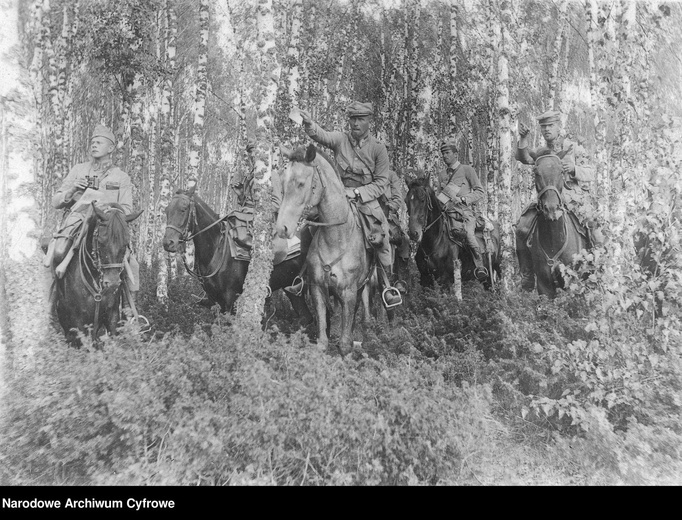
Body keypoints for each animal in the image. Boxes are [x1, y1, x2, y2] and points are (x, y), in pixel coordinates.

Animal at [162, 185, 314, 328]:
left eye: (183, 209)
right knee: (306, 318)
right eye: (167, 210)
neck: (217, 250)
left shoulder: (231, 298)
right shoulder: (214, 299)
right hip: (293, 289)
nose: (168, 243)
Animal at [274, 143, 382, 354]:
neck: (336, 238)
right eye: (282, 183)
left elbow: (345, 344)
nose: (282, 228)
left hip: (364, 286)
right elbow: (322, 340)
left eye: (301, 183)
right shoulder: (317, 288)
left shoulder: (349, 292)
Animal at [516, 150, 588, 296]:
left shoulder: (573, 283)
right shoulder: (545, 286)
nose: (551, 209)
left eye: (561, 171)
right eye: (536, 172)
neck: (554, 240)